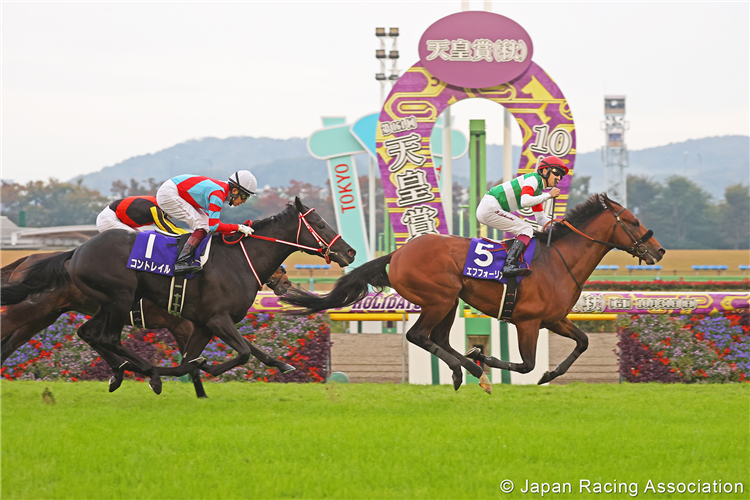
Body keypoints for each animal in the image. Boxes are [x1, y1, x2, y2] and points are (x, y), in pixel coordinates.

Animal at [0, 197, 356, 392]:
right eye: (319, 223)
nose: (350, 252)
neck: (237, 260)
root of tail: (75, 251)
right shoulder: (212, 319)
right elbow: (239, 352)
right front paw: (187, 371)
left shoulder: (201, 323)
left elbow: (201, 359)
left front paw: (280, 365)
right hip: (104, 301)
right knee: (104, 337)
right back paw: (144, 372)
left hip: (95, 306)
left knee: (89, 333)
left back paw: (126, 372)